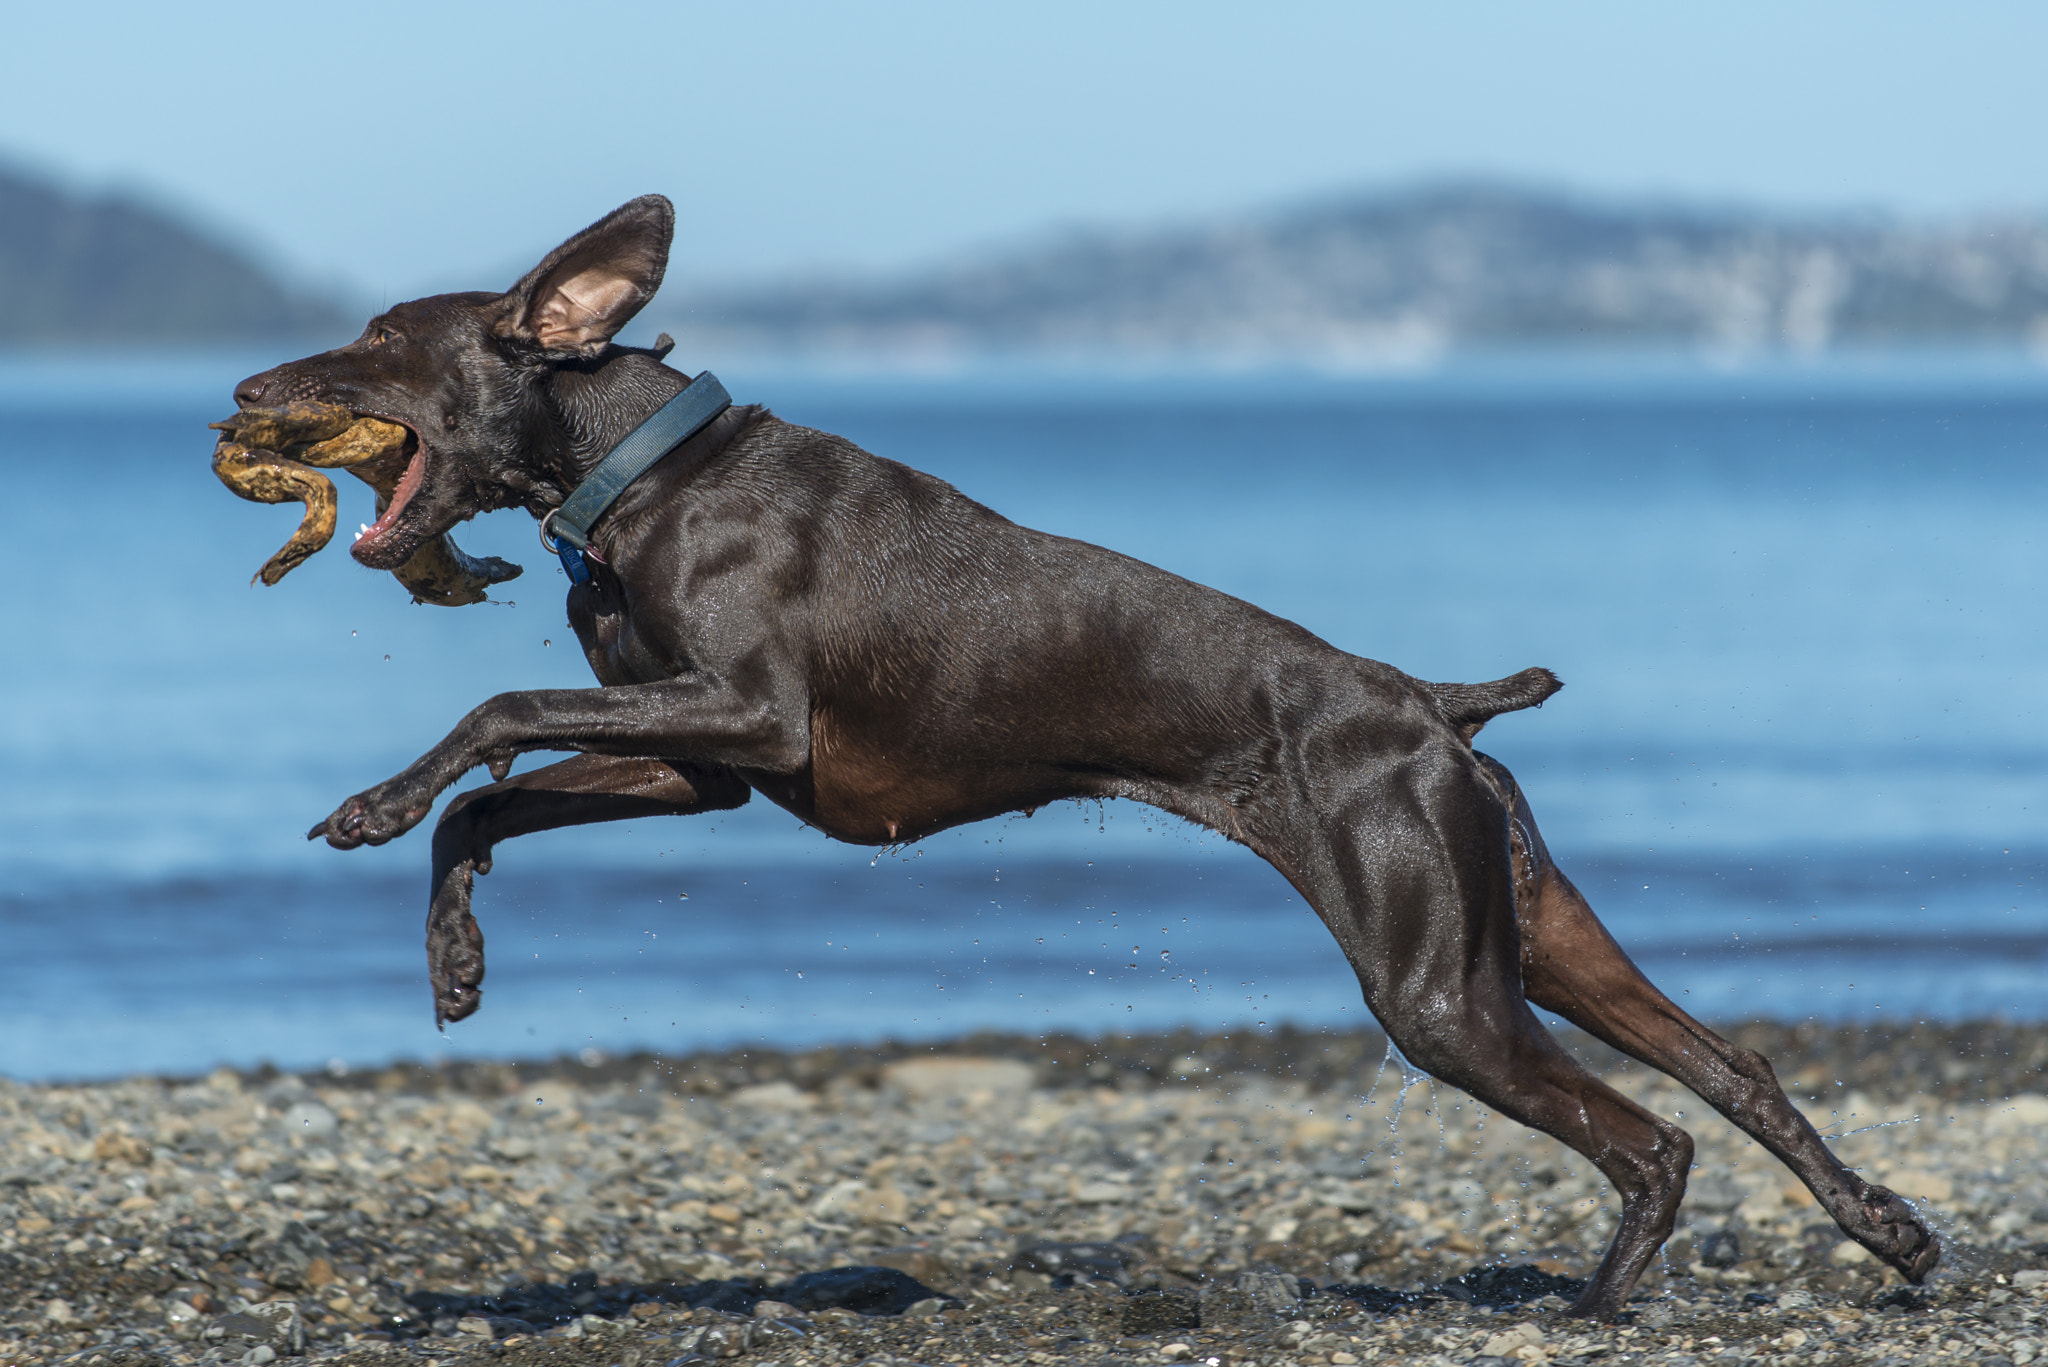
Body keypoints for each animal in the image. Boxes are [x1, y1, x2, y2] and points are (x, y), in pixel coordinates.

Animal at [228, 197, 1933, 1319]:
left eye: (379, 338)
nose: (245, 388)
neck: (643, 468)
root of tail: (1430, 707)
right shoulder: (702, 763)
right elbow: (490, 803)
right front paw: (454, 962)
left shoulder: (749, 714)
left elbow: (493, 721)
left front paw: (373, 803)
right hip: (1535, 924)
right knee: (1734, 1065)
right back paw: (1892, 1230)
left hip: (1439, 983)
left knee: (1650, 1131)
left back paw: (1603, 1292)